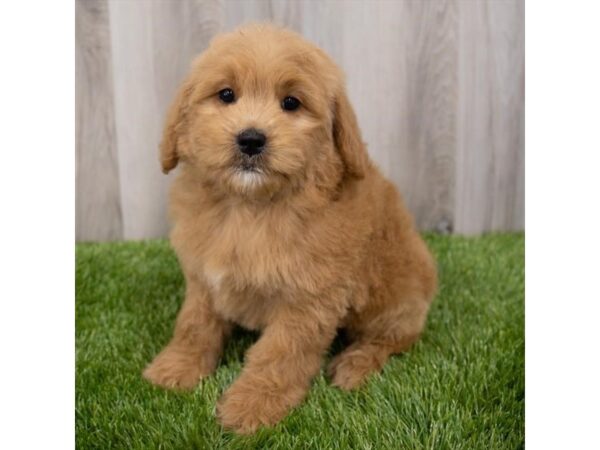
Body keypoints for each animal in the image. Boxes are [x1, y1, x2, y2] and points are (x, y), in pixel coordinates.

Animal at [144, 23, 436, 432]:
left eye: (291, 103)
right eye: (226, 94)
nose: (251, 138)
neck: (249, 207)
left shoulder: (308, 299)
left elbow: (279, 352)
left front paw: (253, 405)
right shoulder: (203, 278)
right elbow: (194, 324)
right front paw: (177, 366)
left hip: (397, 296)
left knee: (393, 338)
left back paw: (356, 365)